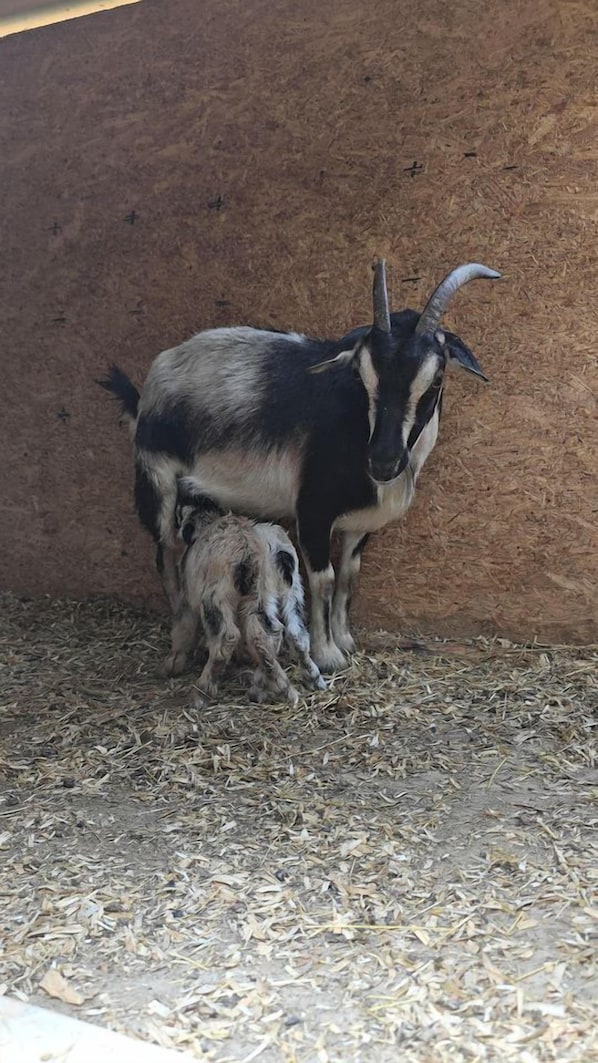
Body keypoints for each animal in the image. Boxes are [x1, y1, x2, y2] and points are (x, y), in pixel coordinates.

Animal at [100, 258, 500, 673]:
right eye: (361, 375)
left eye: (435, 379)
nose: (384, 461)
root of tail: (151, 385)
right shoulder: (312, 511)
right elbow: (323, 579)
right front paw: (328, 654)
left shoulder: (360, 524)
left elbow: (349, 576)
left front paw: (345, 639)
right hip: (157, 481)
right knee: (166, 554)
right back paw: (179, 651)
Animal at [165, 477, 326, 705]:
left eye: (178, 513)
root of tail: (249, 551)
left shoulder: (187, 596)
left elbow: (183, 625)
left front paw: (174, 662)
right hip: (281, 591)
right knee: (287, 633)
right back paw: (303, 680)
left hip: (218, 595)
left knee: (229, 636)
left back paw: (203, 691)